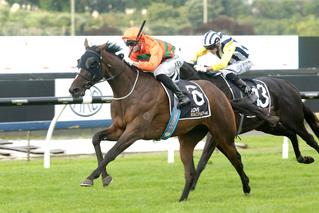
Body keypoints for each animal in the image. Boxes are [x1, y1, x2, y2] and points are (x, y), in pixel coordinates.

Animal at [69, 40, 251, 201]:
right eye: (79, 61)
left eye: (92, 63)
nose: (74, 89)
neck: (130, 90)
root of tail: (222, 94)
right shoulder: (119, 129)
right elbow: (96, 139)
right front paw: (105, 177)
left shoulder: (134, 132)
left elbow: (112, 152)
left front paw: (90, 178)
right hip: (192, 137)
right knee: (191, 170)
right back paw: (183, 199)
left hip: (223, 133)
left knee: (235, 158)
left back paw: (247, 187)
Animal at [180, 62, 319, 190]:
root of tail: (289, 85)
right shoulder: (220, 137)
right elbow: (232, 158)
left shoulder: (216, 136)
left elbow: (205, 159)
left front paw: (191, 186)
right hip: (268, 126)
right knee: (291, 134)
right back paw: (303, 159)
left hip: (293, 120)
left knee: (309, 138)